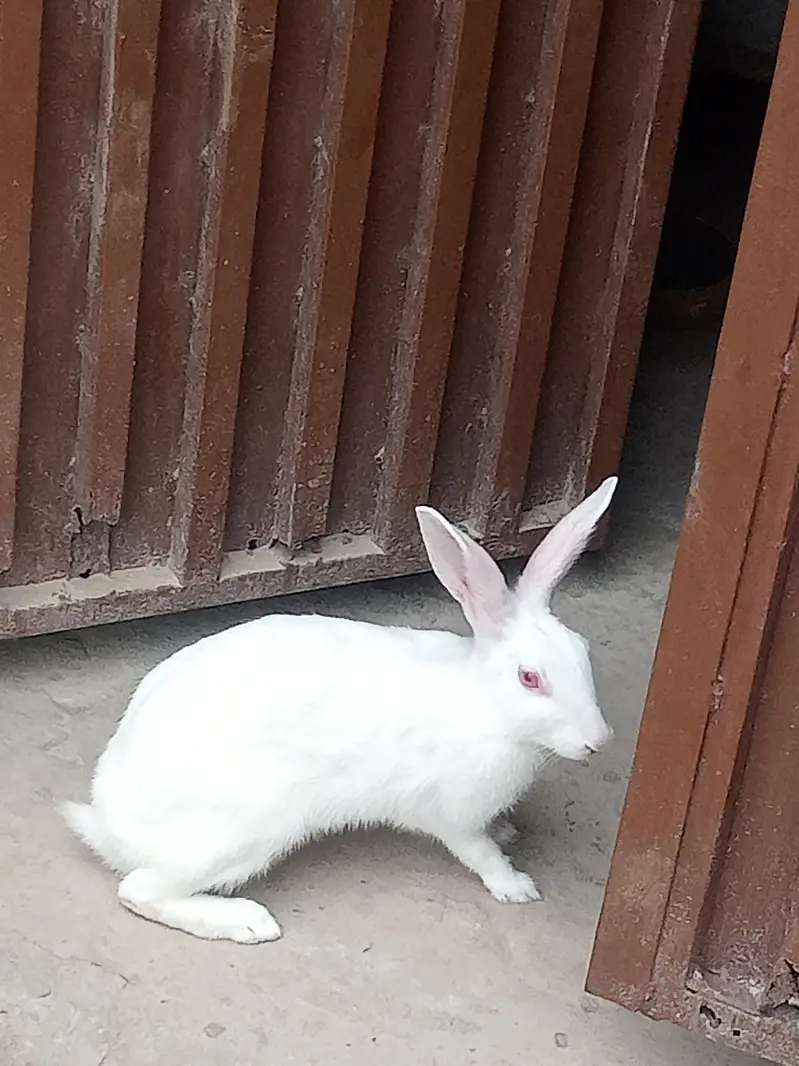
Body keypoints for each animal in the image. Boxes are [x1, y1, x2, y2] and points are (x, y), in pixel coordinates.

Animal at [62, 476, 617, 944]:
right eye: (530, 679)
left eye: (583, 649)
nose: (598, 741)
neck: (487, 707)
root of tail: (110, 824)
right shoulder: (448, 813)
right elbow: (478, 852)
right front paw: (516, 885)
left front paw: (508, 831)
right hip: (246, 828)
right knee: (140, 891)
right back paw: (248, 922)